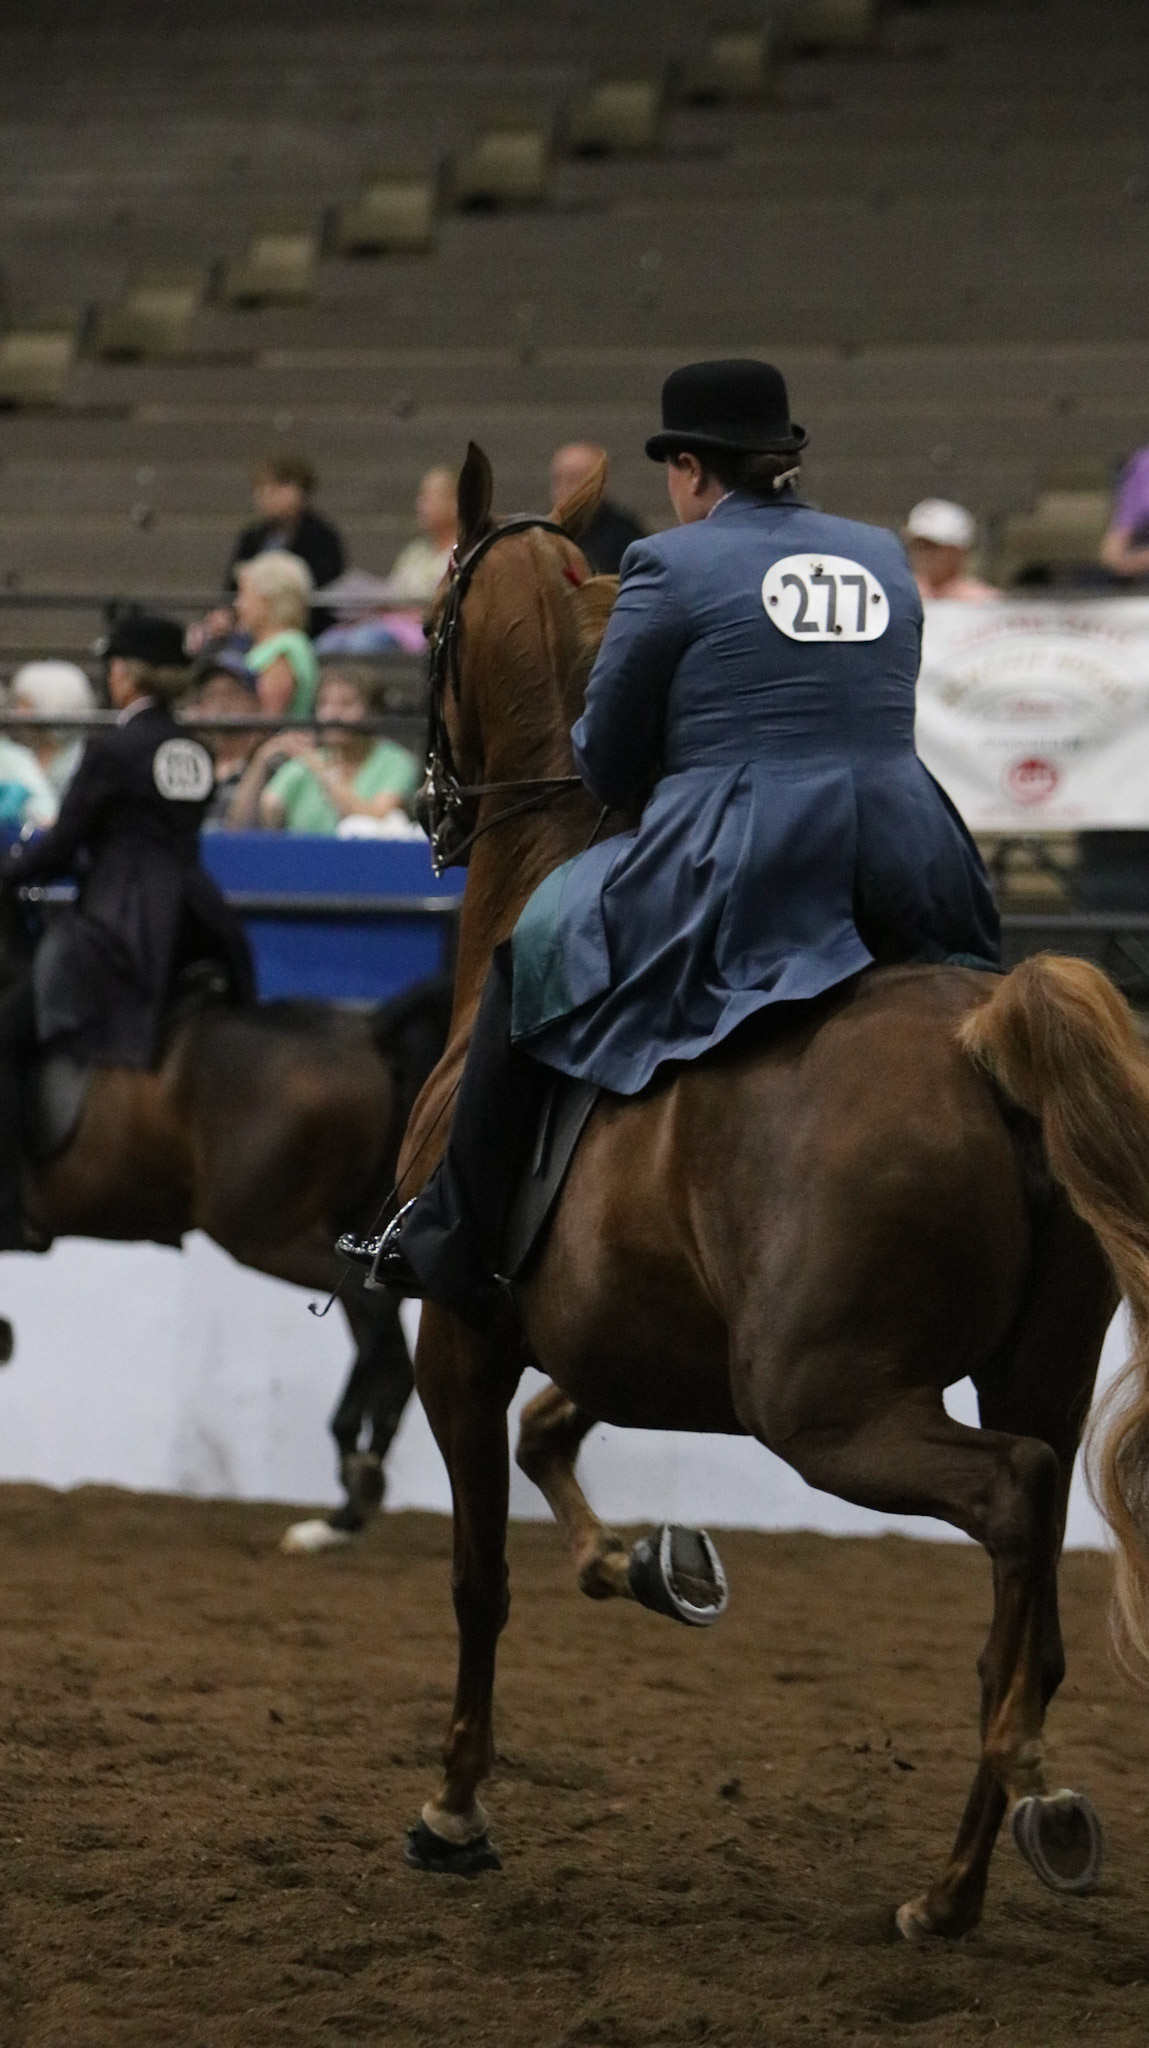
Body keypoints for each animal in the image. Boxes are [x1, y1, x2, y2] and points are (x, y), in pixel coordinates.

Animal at [0, 887, 450, 1540]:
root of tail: (369, 1029)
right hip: (353, 1231)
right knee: (382, 1335)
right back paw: (345, 1505)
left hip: (263, 1233)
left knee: (377, 1327)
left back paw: (351, 1482)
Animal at [392, 441, 1149, 1941]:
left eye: (435, 623)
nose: (428, 811)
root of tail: (990, 1037)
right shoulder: (635, 1340)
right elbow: (553, 1438)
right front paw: (650, 1565)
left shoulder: (460, 1335)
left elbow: (477, 1576)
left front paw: (455, 1806)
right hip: (1020, 1362)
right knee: (1027, 1583)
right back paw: (996, 1840)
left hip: (824, 1403)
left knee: (1016, 1499)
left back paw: (982, 1846)